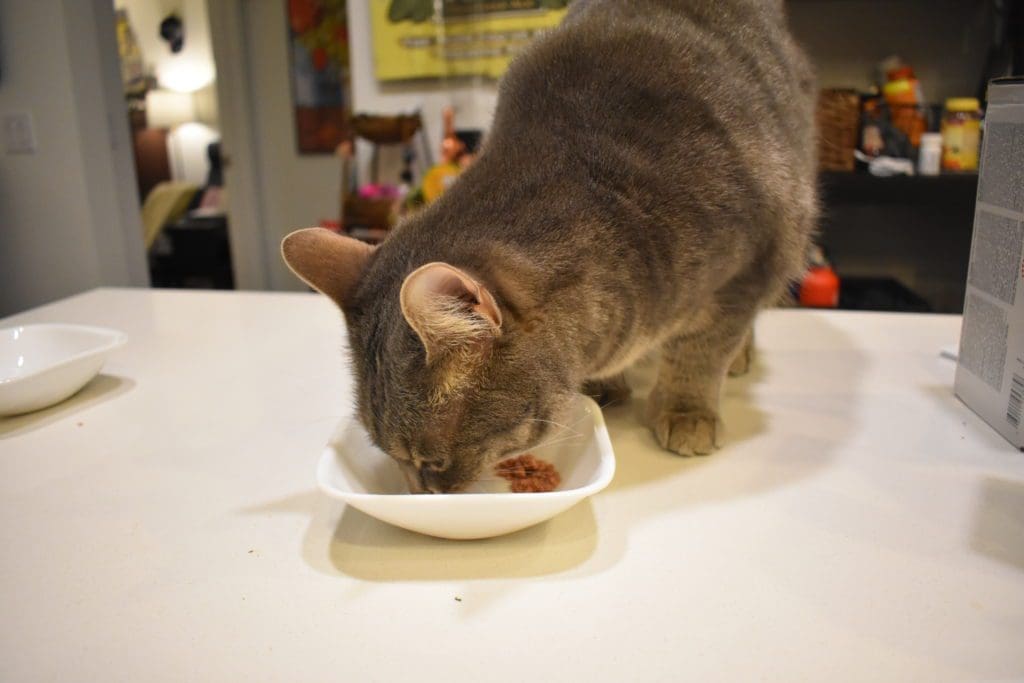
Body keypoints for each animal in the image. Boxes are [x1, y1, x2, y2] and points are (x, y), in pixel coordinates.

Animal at [284, 0, 819, 491]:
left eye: (429, 462)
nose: (420, 496)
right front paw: (604, 386)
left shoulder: (753, 263)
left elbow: (701, 351)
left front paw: (688, 410)